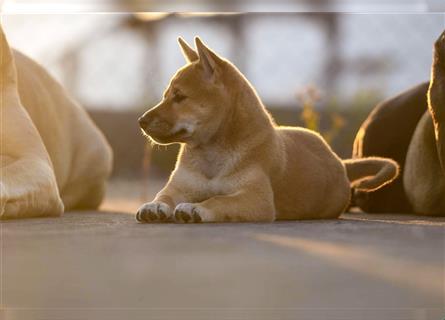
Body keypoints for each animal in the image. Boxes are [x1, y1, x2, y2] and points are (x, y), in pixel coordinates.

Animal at [136, 37, 398, 222]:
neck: (211, 154)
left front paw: (196, 208)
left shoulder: (255, 199)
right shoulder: (180, 187)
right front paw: (155, 205)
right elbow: (165, 196)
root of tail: (339, 162)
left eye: (180, 97)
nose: (141, 121)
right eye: (166, 96)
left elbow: (218, 201)